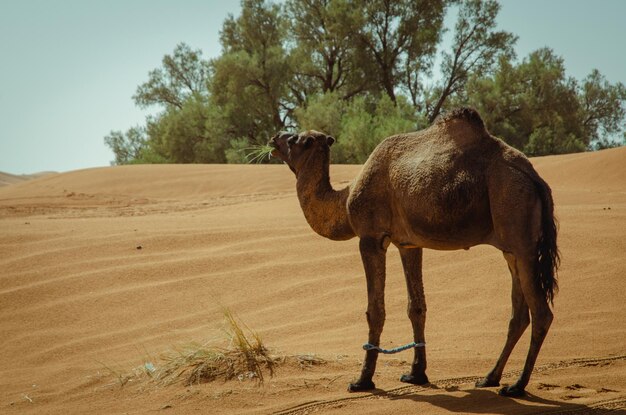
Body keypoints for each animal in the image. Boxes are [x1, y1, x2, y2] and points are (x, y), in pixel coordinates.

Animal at [266, 106, 556, 396]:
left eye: (295, 139)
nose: (274, 138)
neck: (345, 200)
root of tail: (535, 177)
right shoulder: (409, 244)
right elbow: (416, 307)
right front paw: (416, 374)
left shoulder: (370, 237)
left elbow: (375, 310)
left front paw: (362, 380)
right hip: (512, 249)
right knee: (519, 315)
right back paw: (489, 378)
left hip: (519, 227)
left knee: (542, 312)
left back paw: (517, 385)